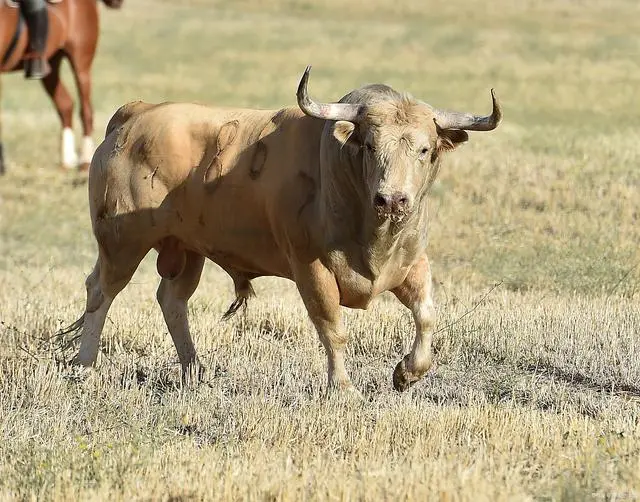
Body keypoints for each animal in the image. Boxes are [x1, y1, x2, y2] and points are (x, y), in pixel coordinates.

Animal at [0, 0, 124, 176]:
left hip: (81, 64)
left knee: (85, 110)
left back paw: (84, 161)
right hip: (50, 66)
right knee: (65, 105)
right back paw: (66, 161)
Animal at [70, 66, 500, 394]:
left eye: (424, 149)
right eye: (370, 146)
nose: (392, 200)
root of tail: (135, 115)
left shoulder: (412, 263)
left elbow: (426, 316)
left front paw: (407, 373)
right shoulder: (312, 269)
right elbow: (333, 328)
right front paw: (344, 389)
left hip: (186, 250)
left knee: (172, 301)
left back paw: (195, 372)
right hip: (123, 243)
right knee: (101, 292)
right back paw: (83, 366)